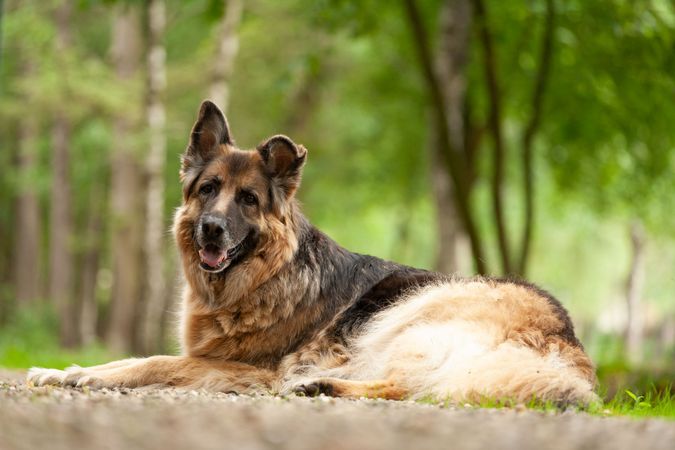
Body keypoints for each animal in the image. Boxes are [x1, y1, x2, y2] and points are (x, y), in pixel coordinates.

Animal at [27, 101, 596, 404]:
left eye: (249, 200)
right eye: (208, 189)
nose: (211, 230)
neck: (265, 277)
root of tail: (567, 340)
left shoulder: (247, 369)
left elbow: (151, 361)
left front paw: (82, 373)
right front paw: (58, 370)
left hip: (415, 313)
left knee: (416, 385)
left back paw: (319, 385)